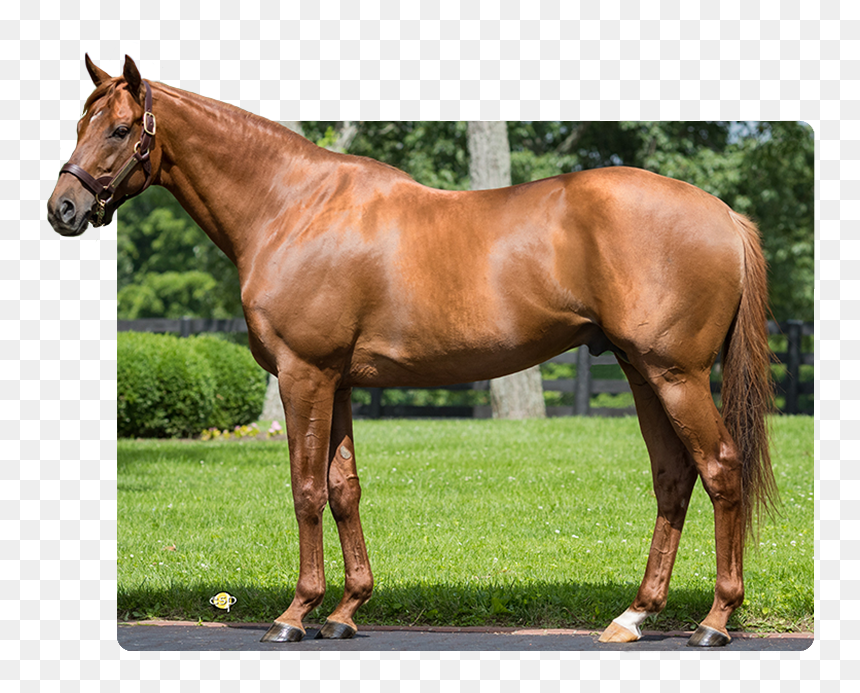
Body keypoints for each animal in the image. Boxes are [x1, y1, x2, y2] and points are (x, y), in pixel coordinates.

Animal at [48, 56, 778, 647]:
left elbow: (306, 490)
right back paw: (634, 616)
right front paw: (346, 611)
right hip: (640, 371)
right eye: (81, 122)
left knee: (719, 468)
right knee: (673, 478)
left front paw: (295, 614)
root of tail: (723, 214)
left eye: (119, 130)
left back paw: (715, 621)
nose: (63, 208)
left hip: (674, 373)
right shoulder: (337, 382)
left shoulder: (304, 375)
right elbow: (344, 489)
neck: (292, 207)